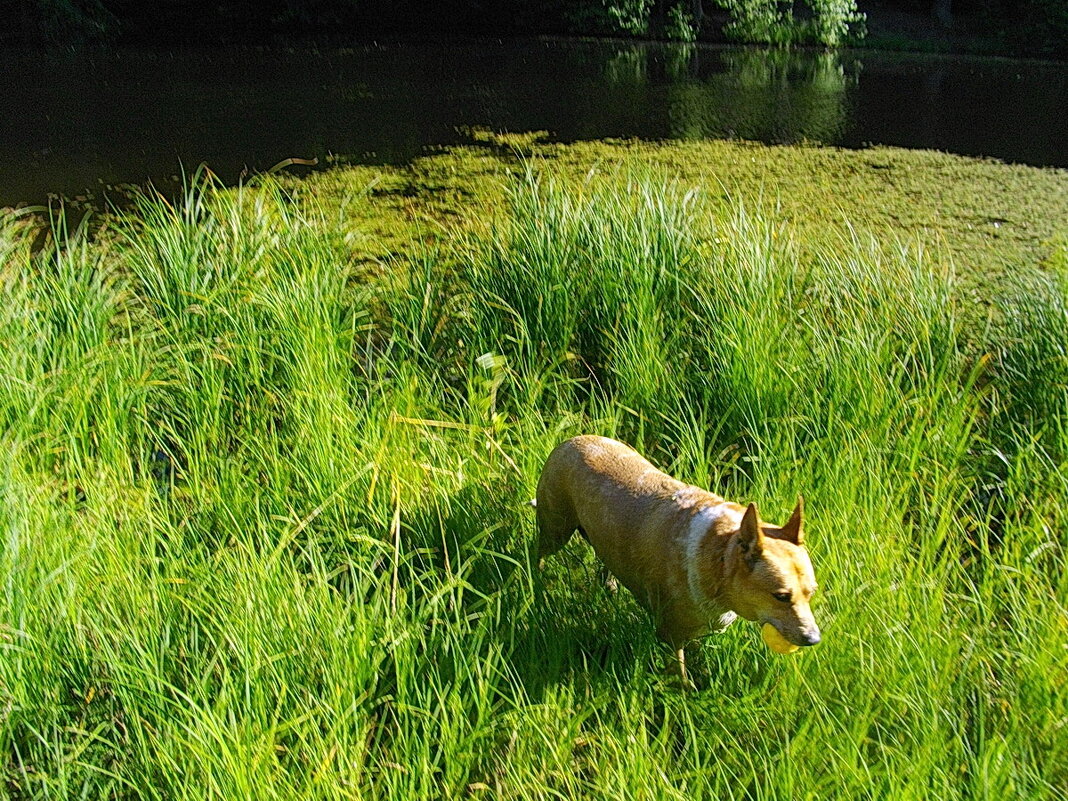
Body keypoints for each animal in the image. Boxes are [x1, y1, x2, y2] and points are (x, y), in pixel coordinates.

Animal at [538, 435, 820, 687]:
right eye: (781, 596)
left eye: (811, 593)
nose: (814, 639)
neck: (720, 555)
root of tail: (572, 441)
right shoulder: (670, 633)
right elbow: (680, 670)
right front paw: (685, 694)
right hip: (555, 528)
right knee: (537, 552)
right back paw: (536, 581)